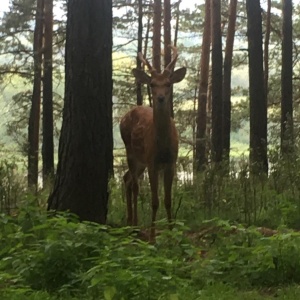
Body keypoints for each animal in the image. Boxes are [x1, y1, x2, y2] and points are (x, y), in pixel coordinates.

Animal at [119, 45, 185, 241]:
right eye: (152, 84)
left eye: (168, 83)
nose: (161, 98)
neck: (162, 144)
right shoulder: (153, 162)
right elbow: (155, 202)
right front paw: (153, 238)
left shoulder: (171, 162)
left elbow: (168, 201)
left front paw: (171, 236)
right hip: (131, 152)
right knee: (134, 185)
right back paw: (134, 224)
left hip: (141, 161)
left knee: (126, 178)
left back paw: (130, 221)